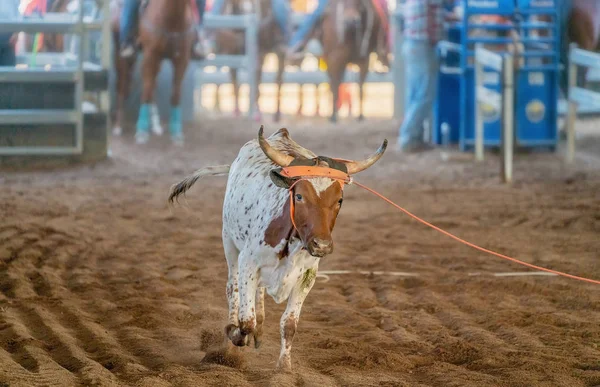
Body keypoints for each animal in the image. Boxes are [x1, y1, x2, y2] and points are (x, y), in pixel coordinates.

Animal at [111, 0, 196, 146]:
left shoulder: (182, 60)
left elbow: (175, 94)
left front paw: (176, 133)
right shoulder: (150, 56)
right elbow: (146, 90)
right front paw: (141, 131)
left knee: (151, 86)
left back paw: (156, 126)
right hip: (122, 55)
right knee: (123, 86)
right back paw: (118, 127)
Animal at [170, 128, 384, 372]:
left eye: (339, 200)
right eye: (299, 196)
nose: (321, 245)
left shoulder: (308, 275)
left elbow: (289, 324)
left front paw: (284, 368)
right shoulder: (248, 262)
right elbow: (246, 321)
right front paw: (235, 334)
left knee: (258, 293)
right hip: (229, 242)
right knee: (232, 287)